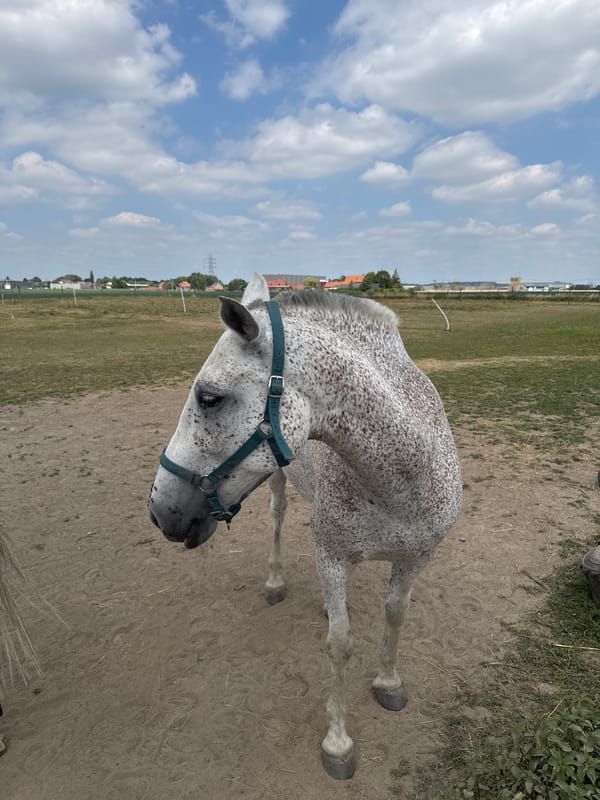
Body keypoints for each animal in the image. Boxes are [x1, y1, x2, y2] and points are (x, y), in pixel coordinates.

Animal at [148, 274, 462, 779]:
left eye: (209, 398)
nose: (160, 511)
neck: (402, 478)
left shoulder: (416, 558)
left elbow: (395, 616)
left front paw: (388, 682)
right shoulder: (332, 557)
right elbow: (339, 644)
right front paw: (338, 744)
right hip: (277, 483)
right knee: (277, 521)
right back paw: (276, 582)